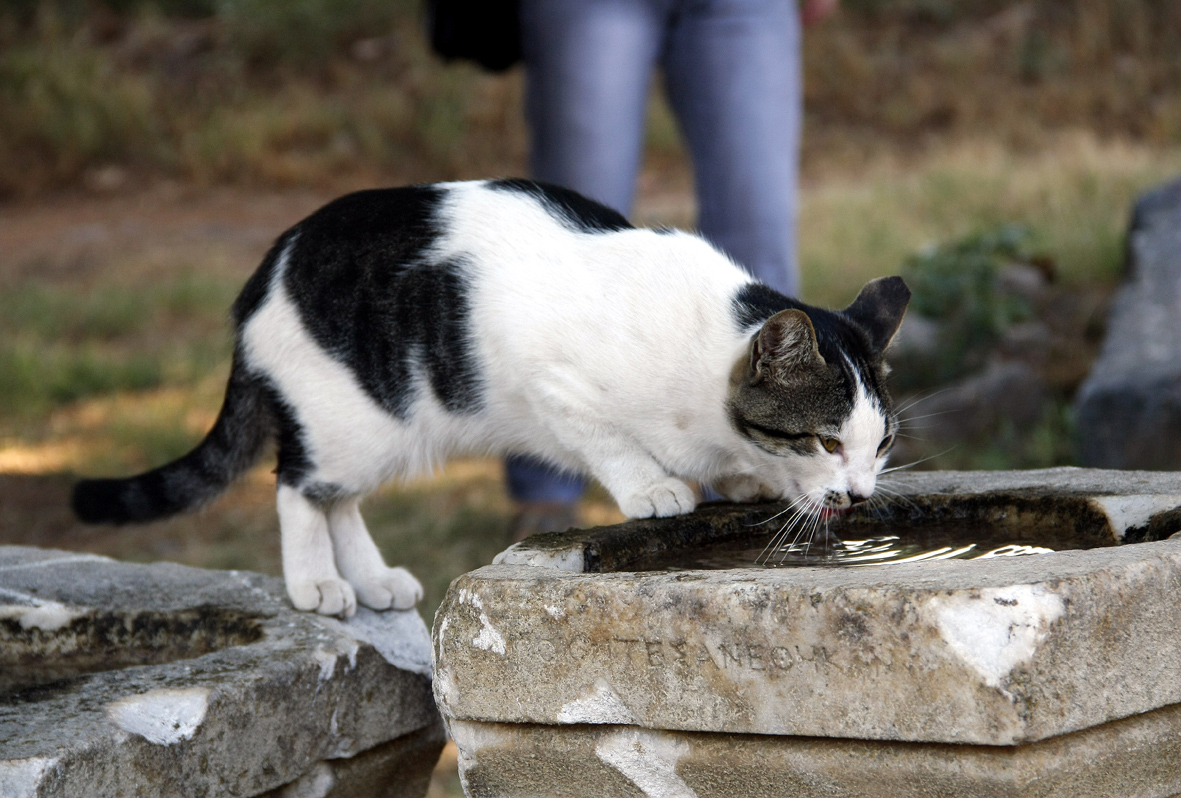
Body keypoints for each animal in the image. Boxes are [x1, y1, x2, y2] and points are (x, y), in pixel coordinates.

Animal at [69, 179, 907, 618]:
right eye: (825, 441)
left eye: (880, 445)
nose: (859, 494)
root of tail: (263, 275)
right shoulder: (551, 383)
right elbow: (611, 441)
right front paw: (655, 487)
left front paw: (733, 477)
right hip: (351, 415)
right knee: (297, 486)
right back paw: (317, 583)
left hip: (378, 435)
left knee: (339, 499)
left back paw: (373, 580)